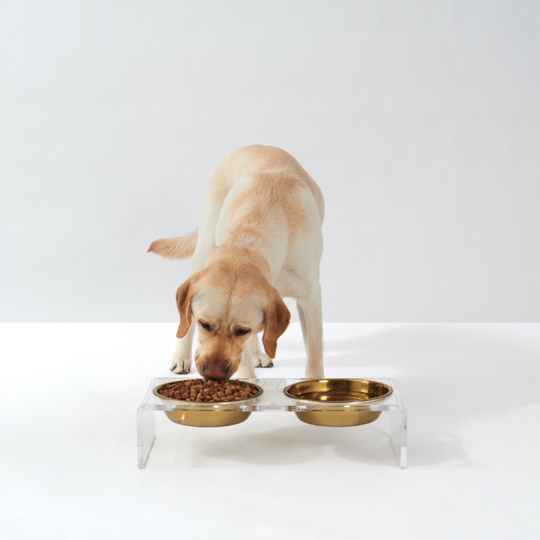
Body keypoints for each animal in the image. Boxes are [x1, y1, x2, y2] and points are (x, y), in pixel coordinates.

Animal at [149, 144, 324, 380]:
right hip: (203, 248)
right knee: (185, 323)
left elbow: (314, 354)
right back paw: (181, 356)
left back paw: (258, 353)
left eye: (242, 331)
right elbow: (243, 364)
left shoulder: (310, 297)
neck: (251, 239)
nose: (213, 374)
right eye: (204, 324)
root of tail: (251, 146)